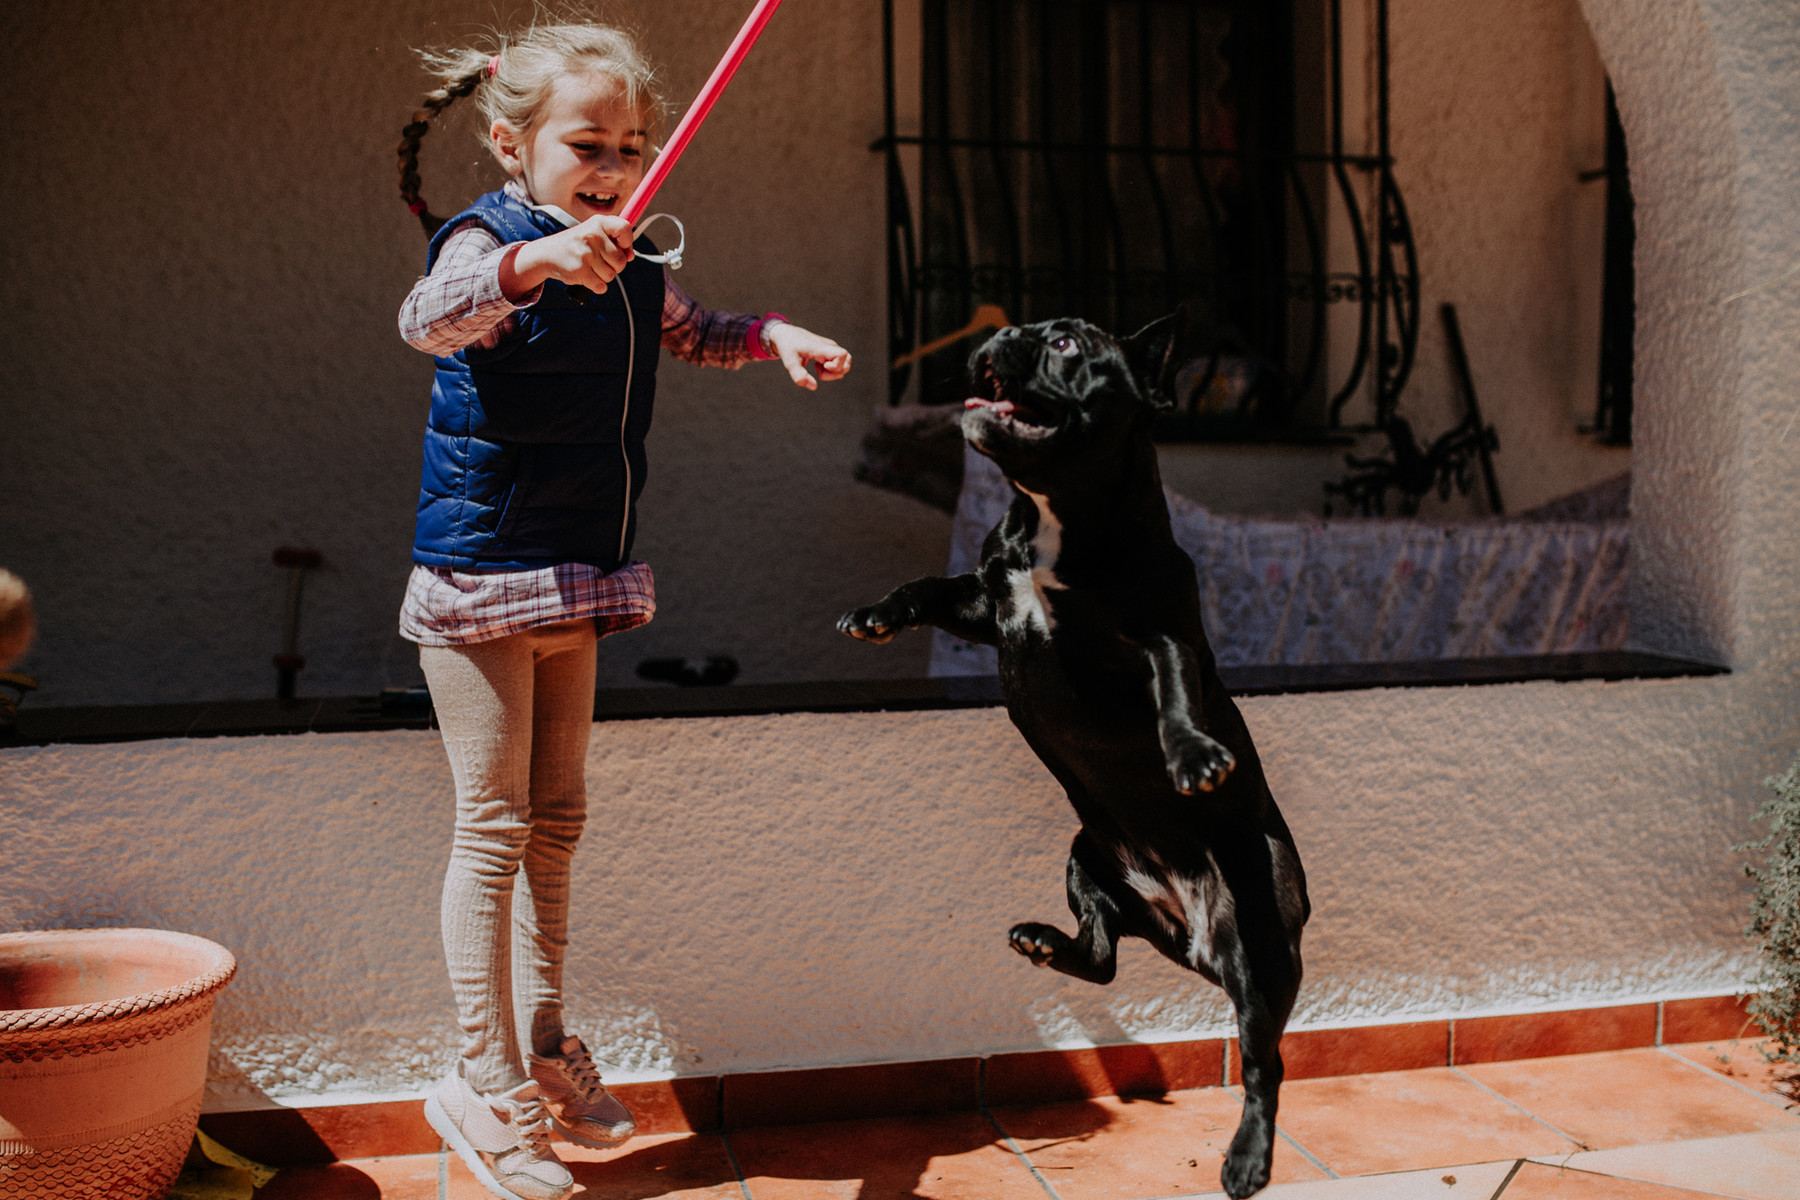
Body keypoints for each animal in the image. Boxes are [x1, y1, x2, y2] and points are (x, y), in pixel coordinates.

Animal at [835, 314, 1317, 1194]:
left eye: (1067, 345)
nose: (1003, 332)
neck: (1054, 519)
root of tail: (1190, 937)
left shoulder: (1155, 632)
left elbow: (1176, 690)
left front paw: (1193, 755)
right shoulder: (987, 602)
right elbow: (925, 587)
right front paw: (878, 613)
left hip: (1258, 950)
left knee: (1264, 1065)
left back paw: (1248, 1159)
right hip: (1086, 859)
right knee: (1100, 959)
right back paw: (1043, 941)